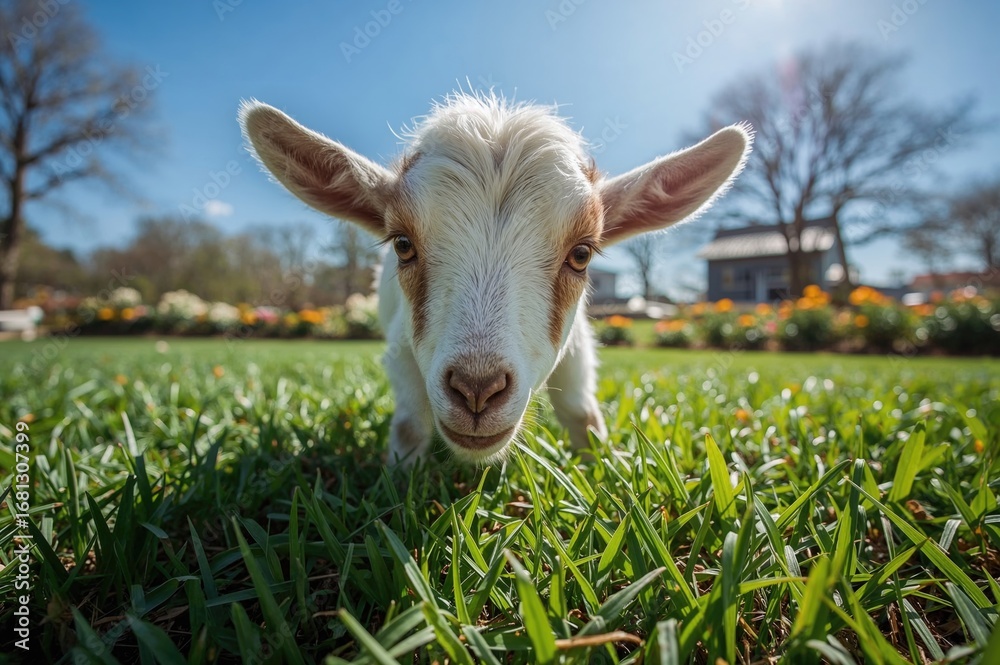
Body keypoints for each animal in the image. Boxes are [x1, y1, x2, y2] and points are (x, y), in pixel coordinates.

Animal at [240, 92, 750, 465]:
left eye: (581, 253)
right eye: (403, 244)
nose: (476, 389)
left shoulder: (576, 343)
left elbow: (581, 412)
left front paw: (604, 470)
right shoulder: (400, 347)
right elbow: (409, 424)